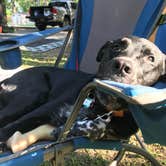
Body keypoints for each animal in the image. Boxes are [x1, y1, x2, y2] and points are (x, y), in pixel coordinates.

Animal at [0, 36, 165, 153]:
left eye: (151, 59)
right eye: (116, 46)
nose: (121, 66)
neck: (101, 108)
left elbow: (95, 128)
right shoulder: (43, 111)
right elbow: (9, 129)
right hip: (32, 95)